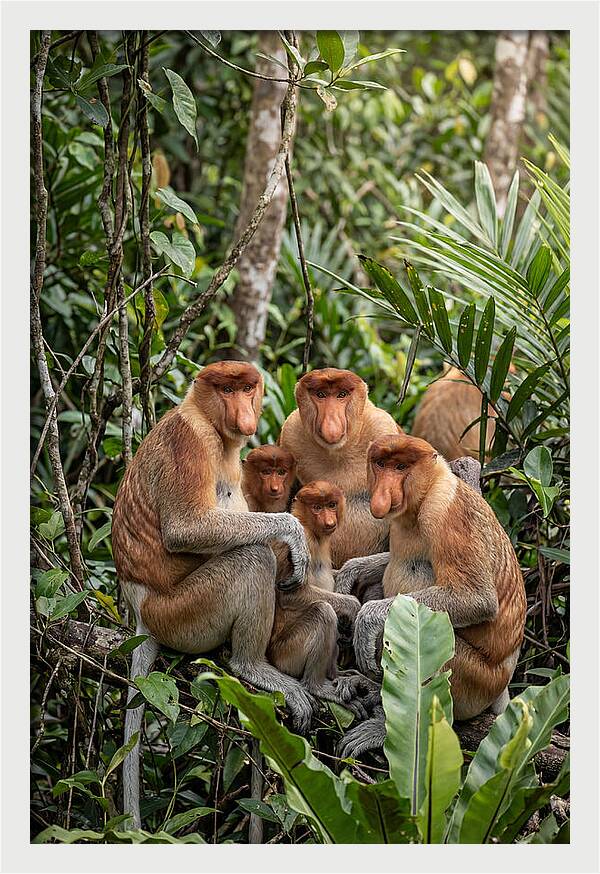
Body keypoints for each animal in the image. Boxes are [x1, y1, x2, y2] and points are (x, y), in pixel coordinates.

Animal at [112, 361, 314, 828]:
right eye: (226, 389)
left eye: (247, 388)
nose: (244, 413)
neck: (206, 418)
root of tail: (141, 612)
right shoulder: (190, 442)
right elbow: (187, 528)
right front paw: (294, 534)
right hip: (184, 613)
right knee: (251, 558)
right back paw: (250, 666)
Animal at [279, 368, 401, 569]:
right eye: (321, 394)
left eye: (341, 395)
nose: (331, 424)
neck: (337, 453)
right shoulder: (290, 433)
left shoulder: (383, 427)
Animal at [337, 434, 526, 759]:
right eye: (381, 464)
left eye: (401, 467)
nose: (383, 493)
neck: (424, 495)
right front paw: (350, 572)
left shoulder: (445, 513)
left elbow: (476, 598)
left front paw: (368, 618)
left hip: (475, 682)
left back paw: (386, 727)